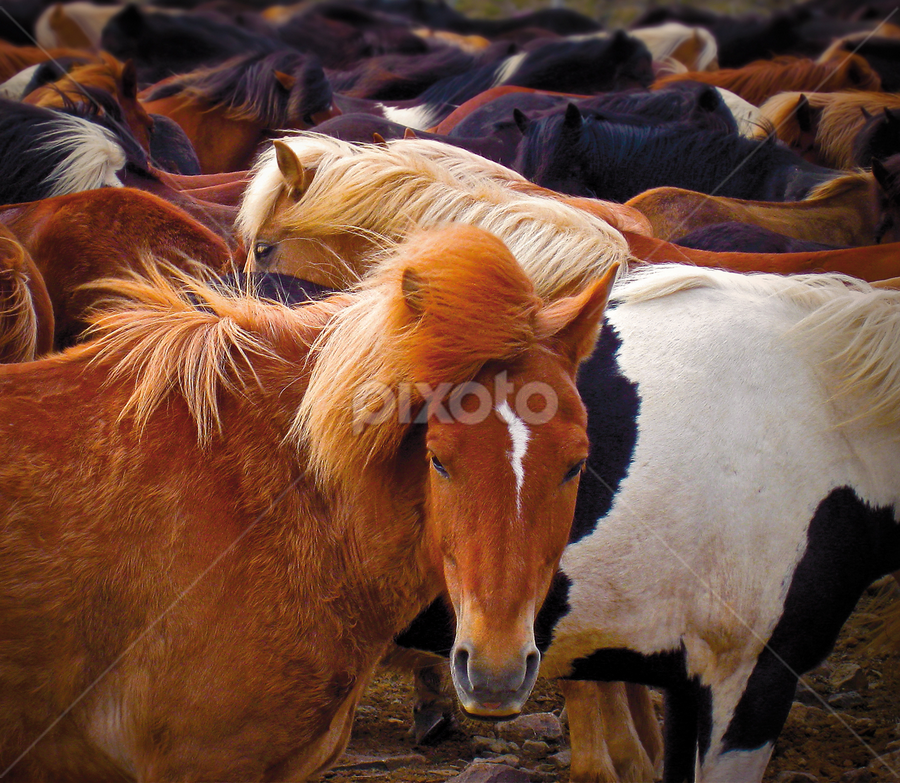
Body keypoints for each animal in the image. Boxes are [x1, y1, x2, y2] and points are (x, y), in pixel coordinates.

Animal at [398, 263, 900, 782]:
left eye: (577, 467)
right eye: (436, 461)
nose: (493, 674)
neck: (825, 420)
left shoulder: (690, 679)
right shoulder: (750, 678)